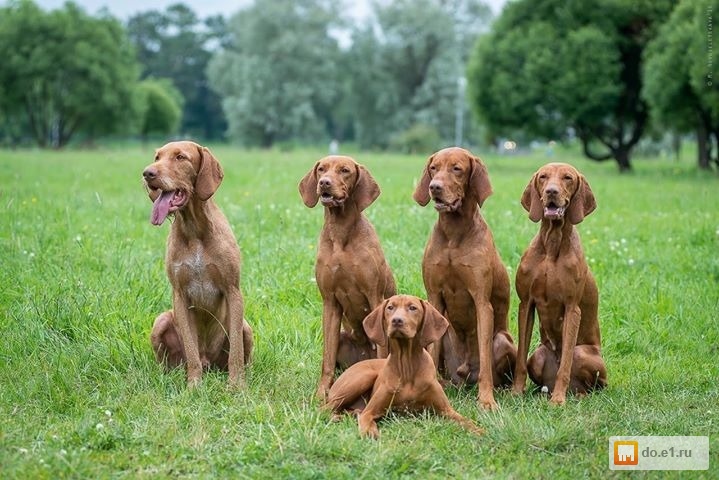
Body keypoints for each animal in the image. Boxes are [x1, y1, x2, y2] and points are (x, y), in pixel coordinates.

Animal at [141, 141, 253, 388]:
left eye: (180, 157)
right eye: (157, 157)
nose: (147, 173)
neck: (194, 230)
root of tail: (209, 362)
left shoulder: (233, 291)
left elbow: (236, 352)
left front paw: (236, 386)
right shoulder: (180, 295)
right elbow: (191, 350)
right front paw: (194, 386)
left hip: (246, 327)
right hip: (161, 320)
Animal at [300, 156, 396, 400]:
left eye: (345, 170)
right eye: (321, 169)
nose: (324, 182)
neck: (341, 233)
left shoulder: (375, 297)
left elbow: (383, 351)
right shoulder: (330, 302)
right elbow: (327, 358)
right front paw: (321, 393)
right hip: (344, 337)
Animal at [324, 292, 484, 438]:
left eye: (413, 308)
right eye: (390, 307)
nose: (397, 320)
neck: (407, 365)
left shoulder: (446, 410)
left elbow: (465, 421)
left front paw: (480, 431)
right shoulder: (369, 412)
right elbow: (366, 420)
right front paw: (370, 432)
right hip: (362, 378)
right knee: (325, 408)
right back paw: (336, 417)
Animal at [416, 146, 516, 408]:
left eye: (457, 169)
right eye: (433, 168)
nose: (434, 187)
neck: (454, 234)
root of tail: (462, 376)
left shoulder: (482, 302)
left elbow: (485, 360)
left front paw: (487, 401)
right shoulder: (434, 298)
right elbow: (433, 353)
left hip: (502, 339)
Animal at [512, 162, 608, 404]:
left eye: (567, 178)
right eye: (543, 177)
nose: (551, 192)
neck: (552, 244)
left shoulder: (572, 308)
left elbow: (565, 363)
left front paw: (558, 400)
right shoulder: (526, 303)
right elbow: (520, 356)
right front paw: (515, 392)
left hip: (583, 354)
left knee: (592, 384)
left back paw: (571, 394)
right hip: (538, 356)